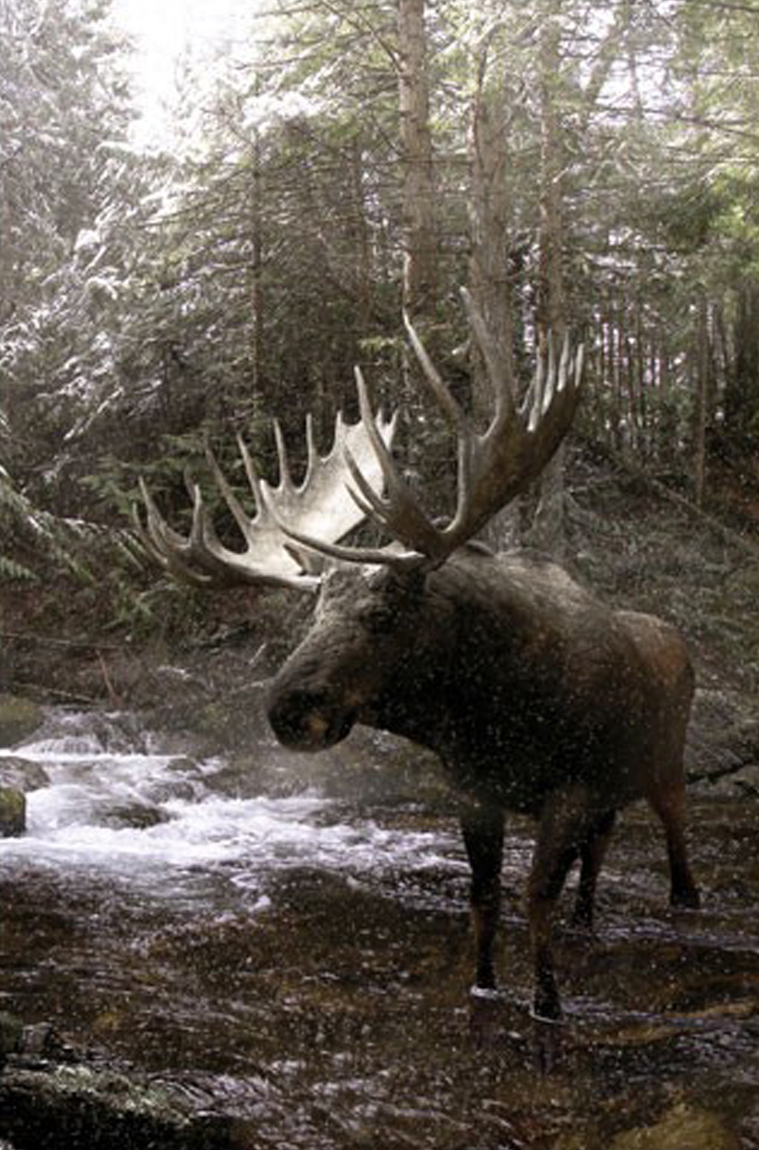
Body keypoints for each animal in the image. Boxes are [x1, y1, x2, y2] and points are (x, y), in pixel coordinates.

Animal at [137, 291, 700, 1024]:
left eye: (380, 617)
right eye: (312, 615)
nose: (286, 708)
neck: (493, 713)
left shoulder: (569, 787)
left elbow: (533, 898)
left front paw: (547, 1002)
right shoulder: (475, 791)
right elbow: (484, 898)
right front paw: (483, 984)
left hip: (665, 768)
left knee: (678, 857)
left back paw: (680, 906)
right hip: (613, 789)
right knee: (598, 854)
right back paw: (588, 919)